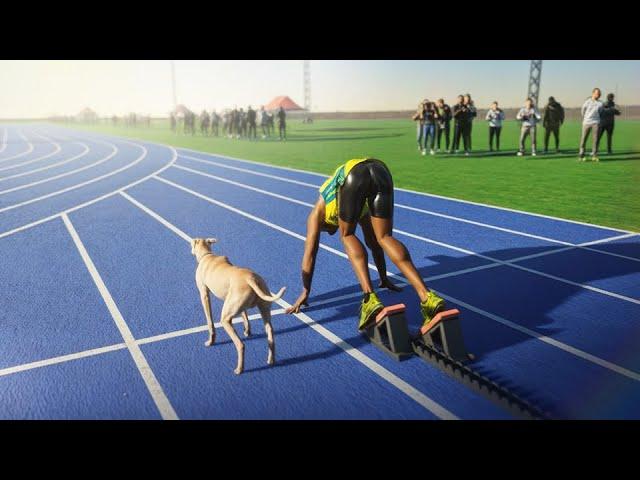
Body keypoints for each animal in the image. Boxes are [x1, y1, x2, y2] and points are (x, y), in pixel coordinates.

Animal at [189, 238, 286, 374]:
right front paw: (247, 331)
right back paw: (271, 360)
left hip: (225, 319)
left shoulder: (204, 295)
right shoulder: (238, 305)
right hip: (263, 309)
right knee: (270, 333)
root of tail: (251, 278)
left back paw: (239, 369)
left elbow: (210, 322)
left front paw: (211, 341)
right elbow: (245, 316)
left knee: (240, 345)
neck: (207, 255)